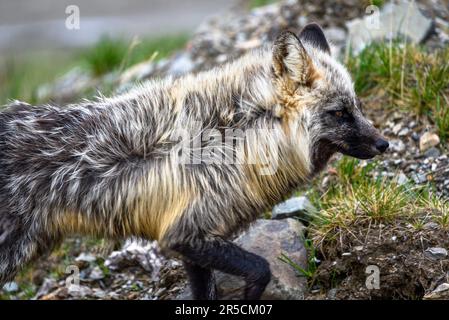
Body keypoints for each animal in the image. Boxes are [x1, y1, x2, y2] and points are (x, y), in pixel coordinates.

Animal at [0, 23, 384, 300]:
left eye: (357, 106)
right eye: (340, 113)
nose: (384, 144)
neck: (236, 139)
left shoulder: (193, 239)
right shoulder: (185, 233)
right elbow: (260, 269)